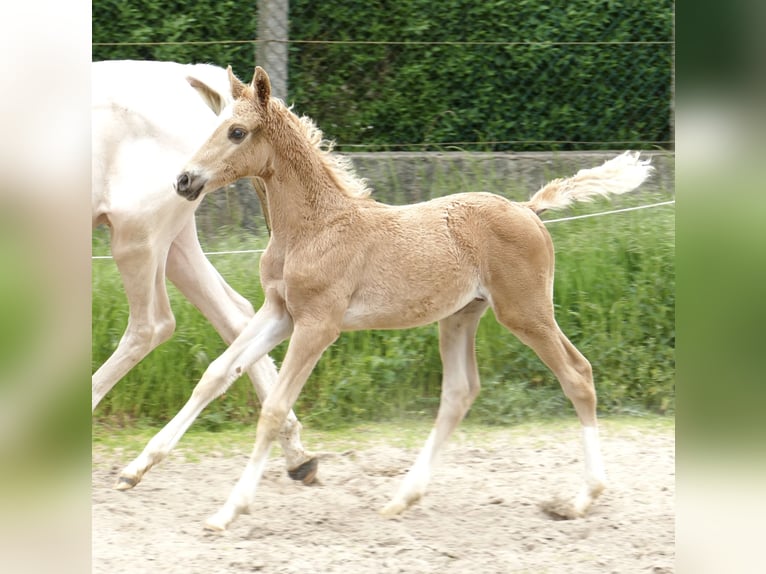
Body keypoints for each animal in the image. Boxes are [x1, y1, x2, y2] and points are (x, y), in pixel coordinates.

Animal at [91, 59, 318, 482]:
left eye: (238, 133)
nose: (186, 177)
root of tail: (186, 74)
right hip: (173, 242)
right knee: (236, 316)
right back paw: (297, 455)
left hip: (137, 237)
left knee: (152, 326)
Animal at [118, 66, 656, 532]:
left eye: (236, 132)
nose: (184, 181)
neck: (314, 227)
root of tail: (528, 209)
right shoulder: (280, 312)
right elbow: (215, 375)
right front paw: (135, 469)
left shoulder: (318, 325)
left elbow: (272, 409)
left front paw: (227, 511)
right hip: (461, 316)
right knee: (460, 392)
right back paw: (402, 498)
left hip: (526, 312)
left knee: (577, 375)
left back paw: (581, 499)